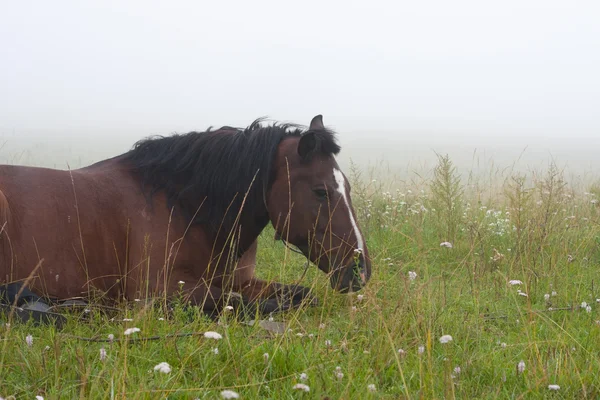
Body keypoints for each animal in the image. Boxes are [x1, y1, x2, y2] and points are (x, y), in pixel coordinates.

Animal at [0, 114, 370, 318]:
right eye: (321, 191)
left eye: (348, 187)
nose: (360, 270)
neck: (187, 208)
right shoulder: (156, 293)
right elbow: (234, 302)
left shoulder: (242, 280)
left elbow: (301, 295)